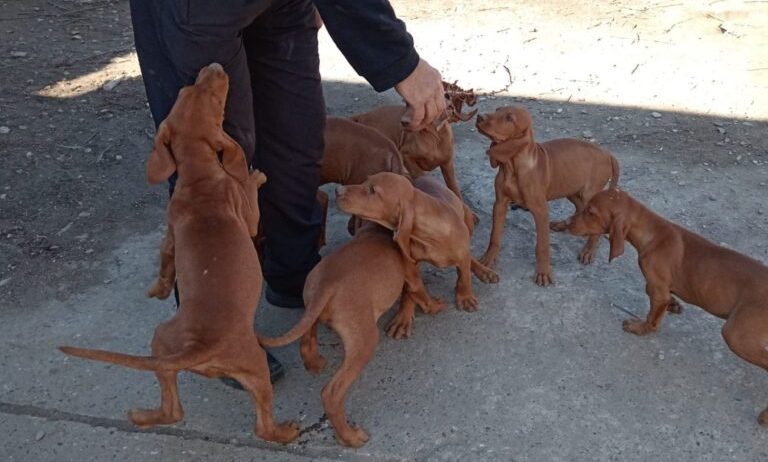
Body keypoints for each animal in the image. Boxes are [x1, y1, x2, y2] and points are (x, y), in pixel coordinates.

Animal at [58, 64, 298, 444]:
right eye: (215, 99)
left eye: (188, 92)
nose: (214, 66)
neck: (199, 179)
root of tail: (201, 347)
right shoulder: (246, 216)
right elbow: (248, 194)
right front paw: (255, 176)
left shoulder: (171, 235)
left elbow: (165, 260)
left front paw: (157, 289)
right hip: (256, 367)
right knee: (262, 427)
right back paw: (285, 432)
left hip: (161, 339)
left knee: (173, 410)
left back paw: (141, 416)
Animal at [260, 222, 424, 446]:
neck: (375, 230)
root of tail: (327, 284)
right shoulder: (412, 273)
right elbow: (416, 293)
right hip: (365, 340)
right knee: (332, 394)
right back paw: (350, 437)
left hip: (311, 306)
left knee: (307, 341)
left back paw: (314, 364)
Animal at [336, 172, 498, 310]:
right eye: (365, 181)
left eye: (372, 190)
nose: (338, 190)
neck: (430, 237)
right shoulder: (409, 263)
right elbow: (416, 285)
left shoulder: (461, 254)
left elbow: (464, 276)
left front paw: (465, 297)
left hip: (468, 219)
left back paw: (484, 271)